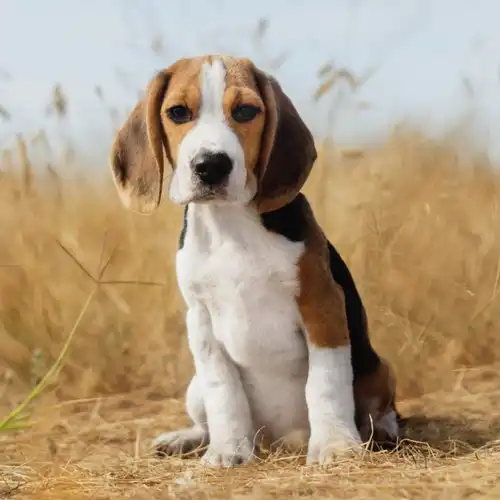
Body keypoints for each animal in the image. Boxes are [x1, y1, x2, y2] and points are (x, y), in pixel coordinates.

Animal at [108, 52, 398, 466]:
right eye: (178, 112)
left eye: (246, 111)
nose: (211, 165)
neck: (230, 225)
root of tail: (278, 440)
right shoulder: (201, 321)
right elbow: (224, 393)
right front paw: (228, 451)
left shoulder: (323, 304)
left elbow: (325, 382)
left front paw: (336, 445)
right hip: (193, 388)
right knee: (205, 417)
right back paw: (185, 438)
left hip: (379, 368)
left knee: (380, 407)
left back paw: (385, 430)